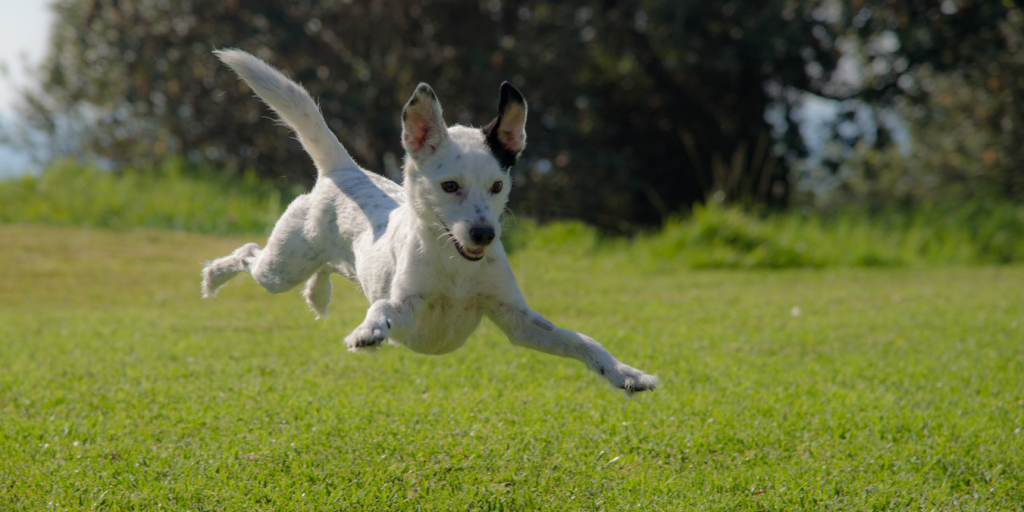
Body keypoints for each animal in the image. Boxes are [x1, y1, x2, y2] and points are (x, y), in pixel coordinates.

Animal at [203, 48, 659, 393]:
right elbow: (383, 307)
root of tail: (344, 170)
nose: (484, 234)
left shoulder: (517, 320)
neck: (455, 266)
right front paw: (368, 331)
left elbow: (582, 340)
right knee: (249, 253)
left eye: (497, 186)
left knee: (322, 269)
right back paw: (214, 277)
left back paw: (317, 293)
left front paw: (625, 374)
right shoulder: (409, 310)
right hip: (281, 267)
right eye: (450, 186)